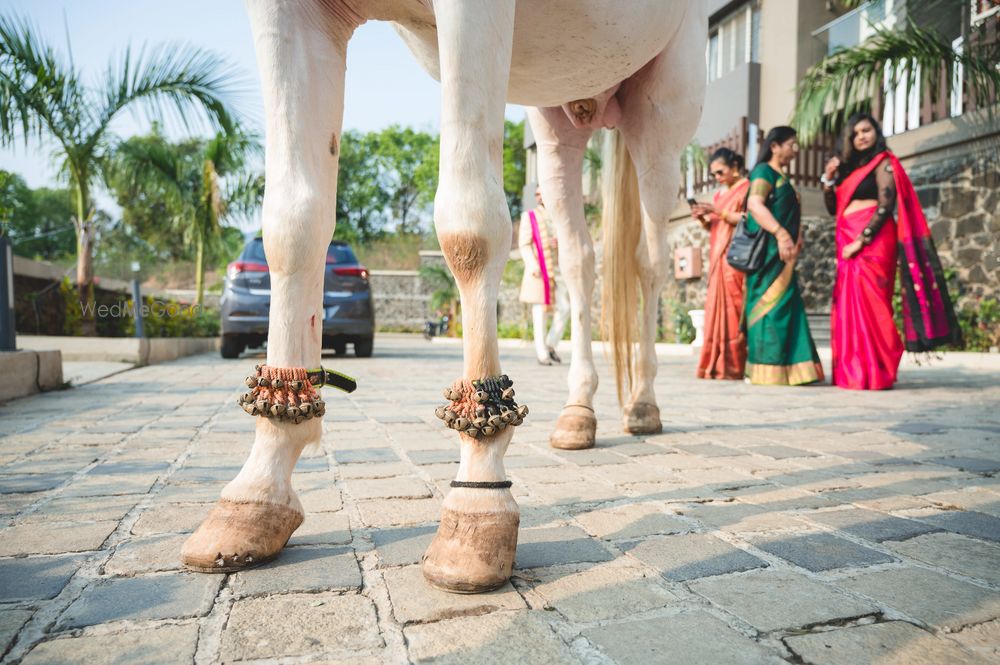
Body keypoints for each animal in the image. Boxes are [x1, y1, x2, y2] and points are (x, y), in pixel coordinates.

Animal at [184, 0, 708, 592]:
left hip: (664, 105)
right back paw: (579, 411)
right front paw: (257, 490)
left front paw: (478, 494)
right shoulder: (290, 14)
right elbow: (292, 224)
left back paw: (643, 402)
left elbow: (469, 225)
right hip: (559, 115)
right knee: (580, 258)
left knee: (649, 258)